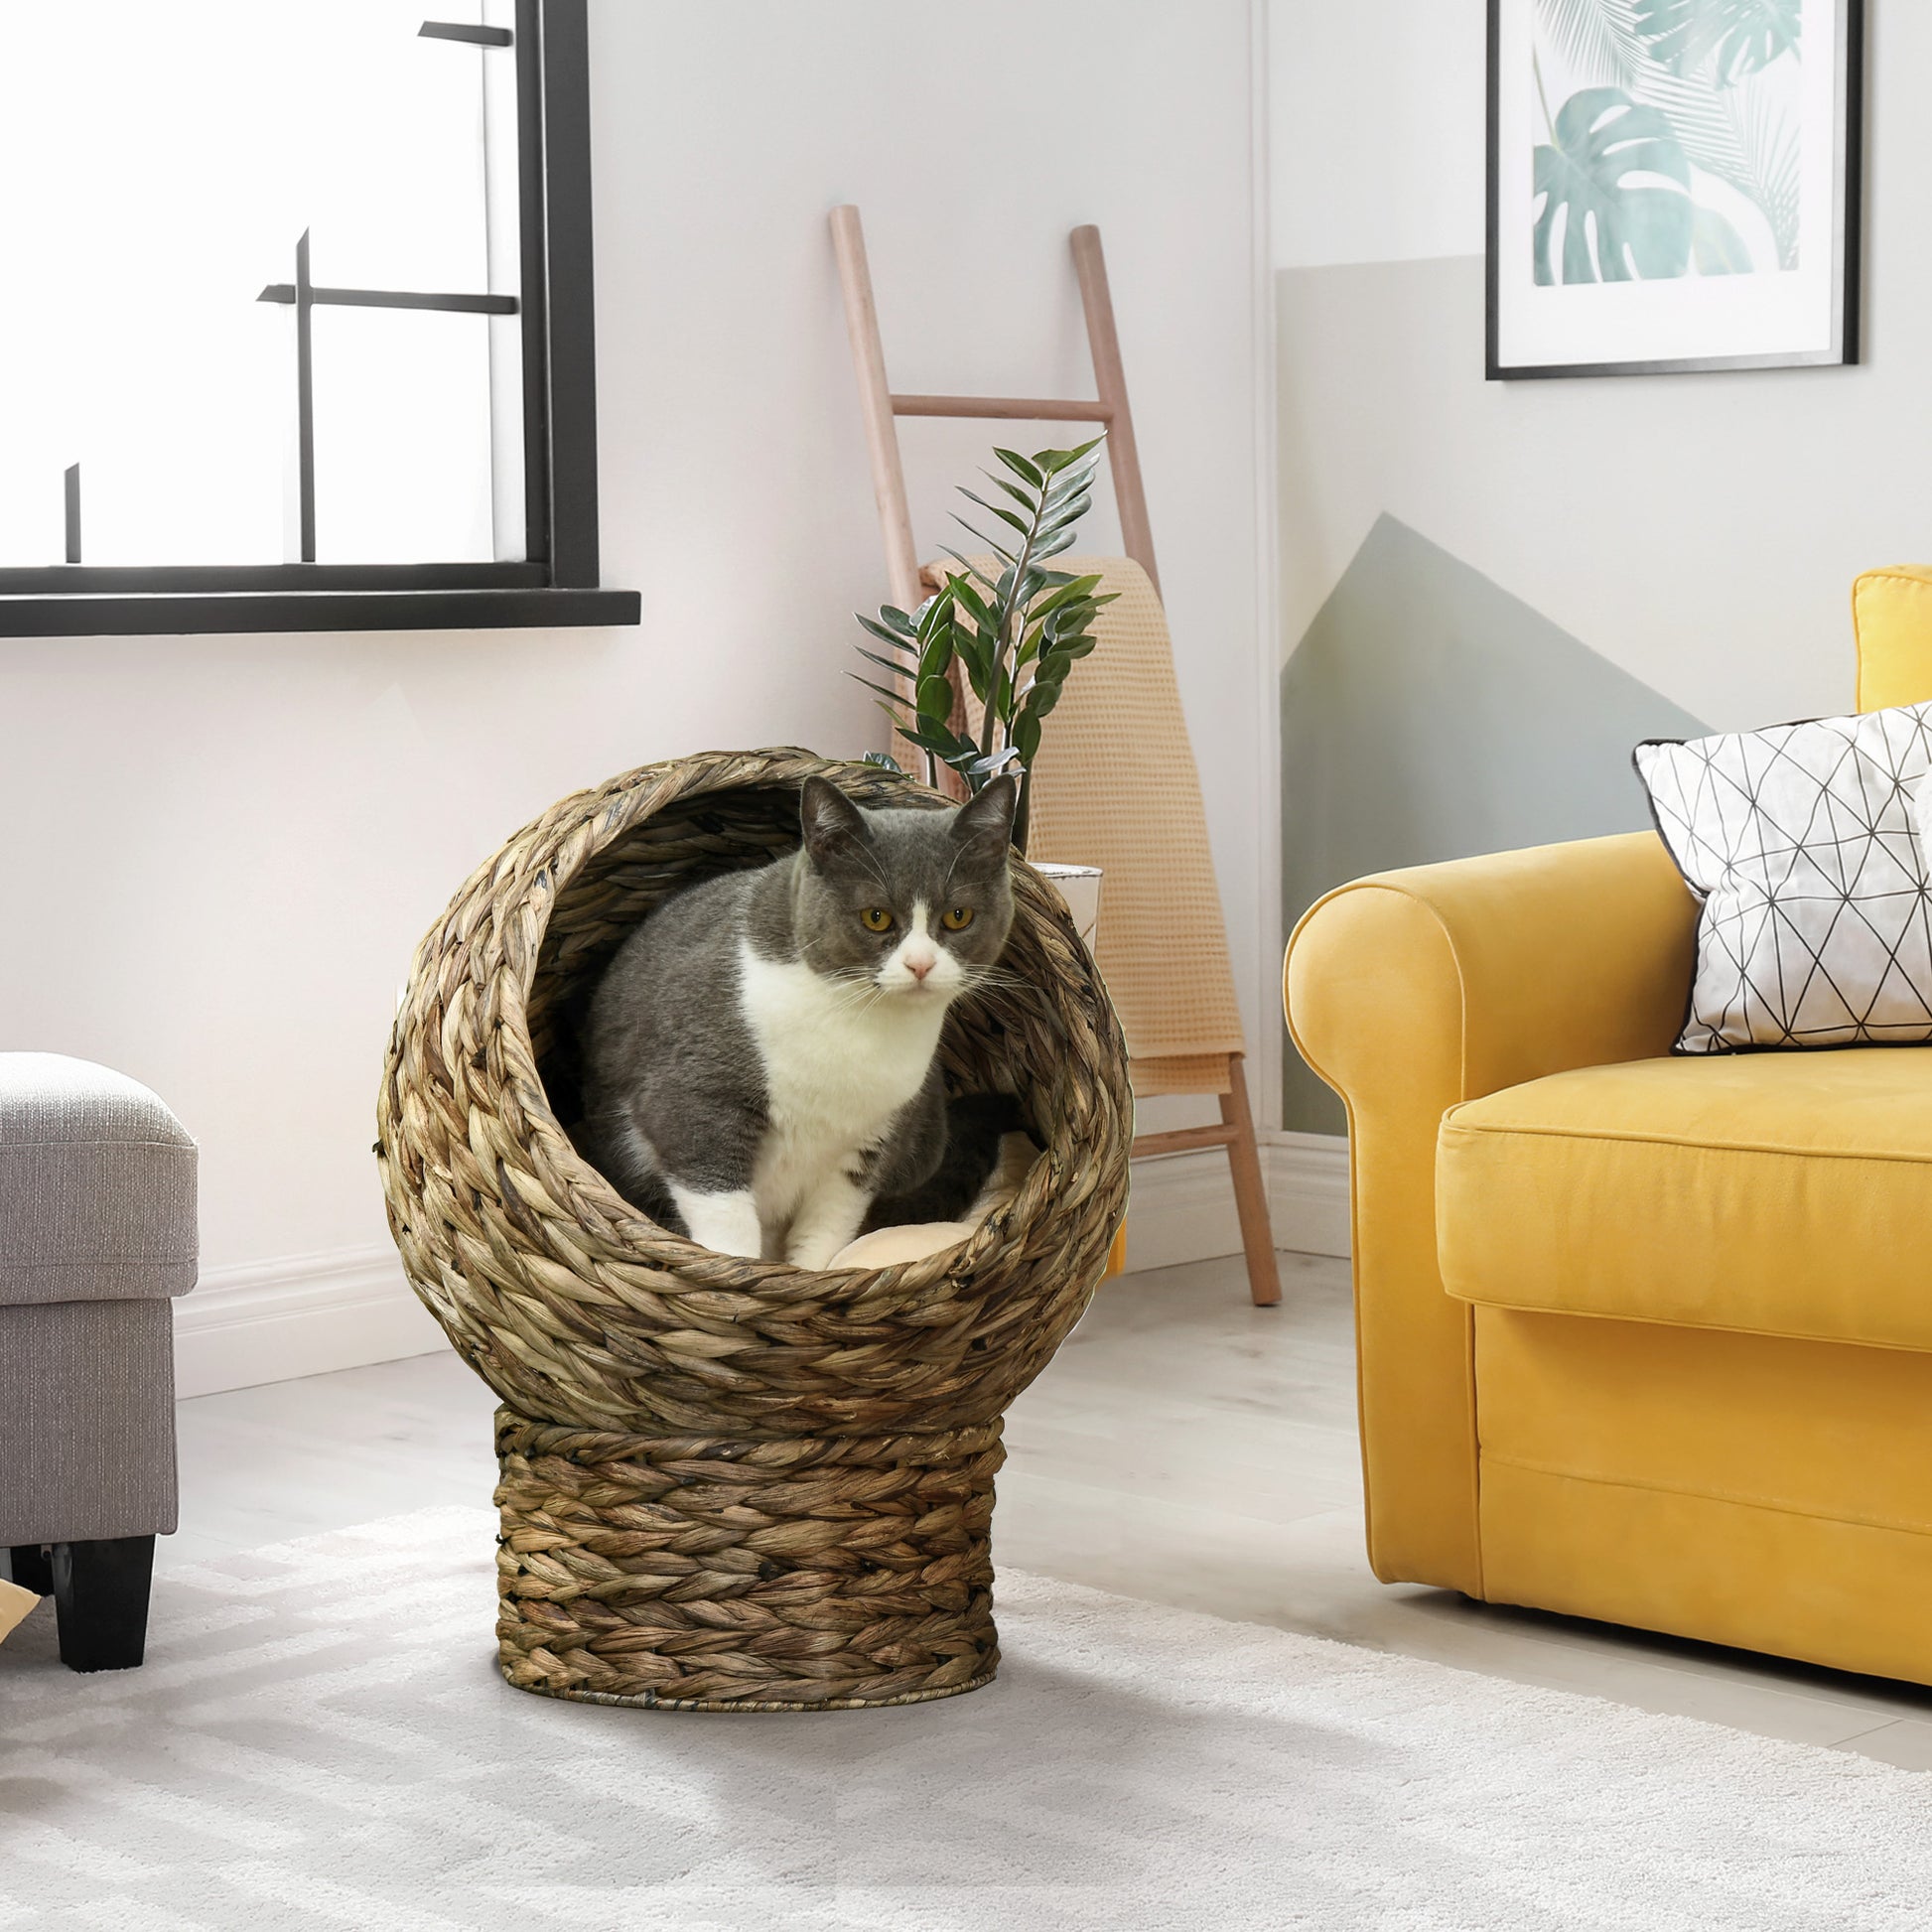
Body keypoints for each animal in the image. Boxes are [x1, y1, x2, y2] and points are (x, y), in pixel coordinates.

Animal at [575, 768, 1020, 1267]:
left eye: (959, 916)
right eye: (877, 917)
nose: (920, 964)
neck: (859, 1023)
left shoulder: (871, 1139)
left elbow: (828, 1226)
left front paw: (806, 1274)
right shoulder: (694, 1093)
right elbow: (722, 1209)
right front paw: (737, 1274)